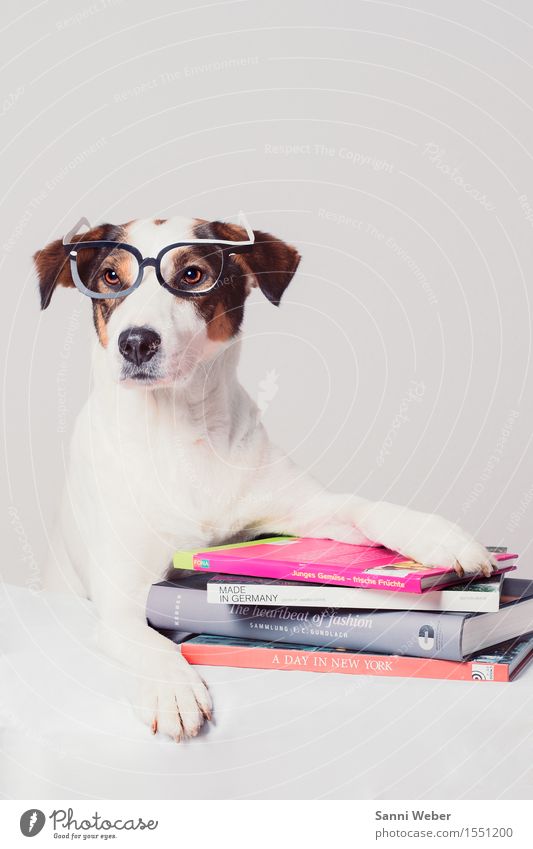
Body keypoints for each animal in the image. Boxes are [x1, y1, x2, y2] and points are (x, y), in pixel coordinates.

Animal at [35, 214, 496, 744]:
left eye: (192, 274)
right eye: (112, 276)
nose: (135, 342)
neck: (182, 431)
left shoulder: (302, 509)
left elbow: (362, 505)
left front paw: (437, 534)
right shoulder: (120, 600)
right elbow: (150, 642)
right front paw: (174, 689)